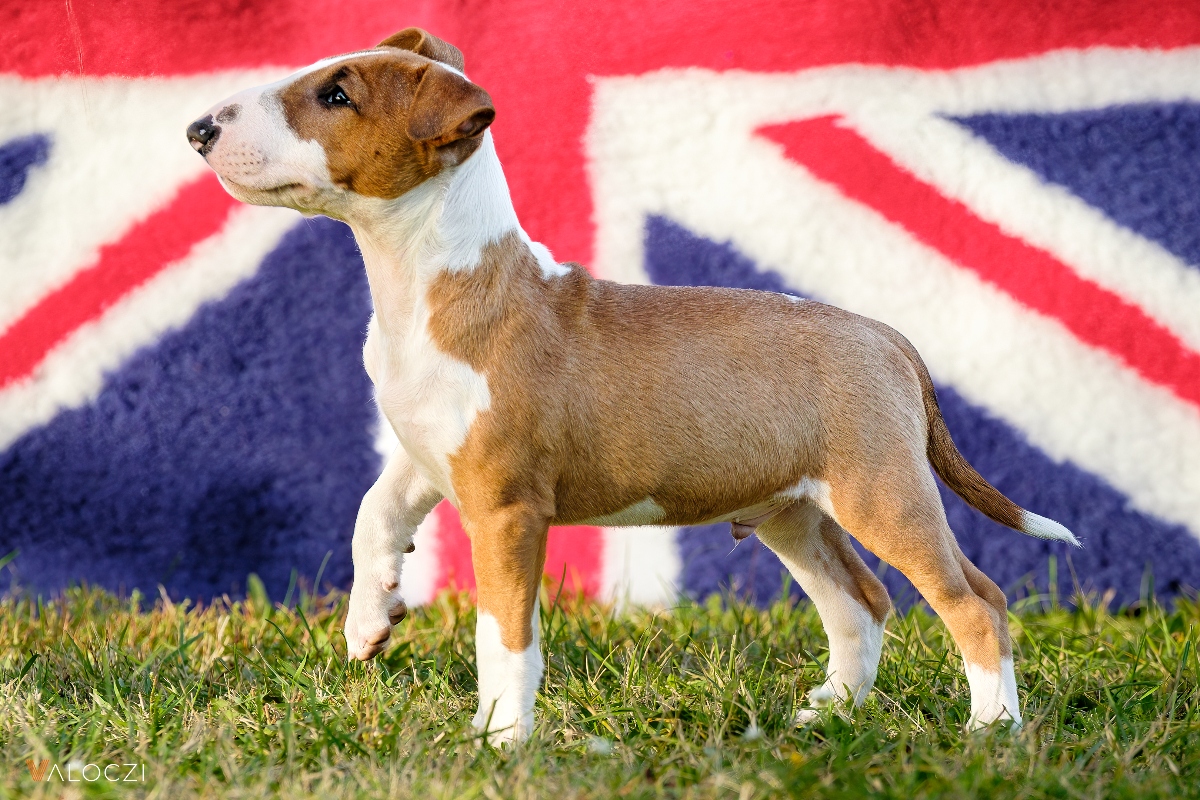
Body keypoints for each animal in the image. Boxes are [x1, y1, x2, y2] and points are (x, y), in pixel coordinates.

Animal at [189, 29, 1080, 743]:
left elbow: (503, 634)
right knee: (860, 600)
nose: (198, 129)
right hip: (793, 510)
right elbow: (373, 515)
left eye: (336, 95)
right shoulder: (427, 451)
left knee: (975, 600)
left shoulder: (506, 507)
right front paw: (369, 622)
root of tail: (886, 336)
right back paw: (830, 712)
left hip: (883, 492)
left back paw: (991, 728)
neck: (430, 282)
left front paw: (501, 740)